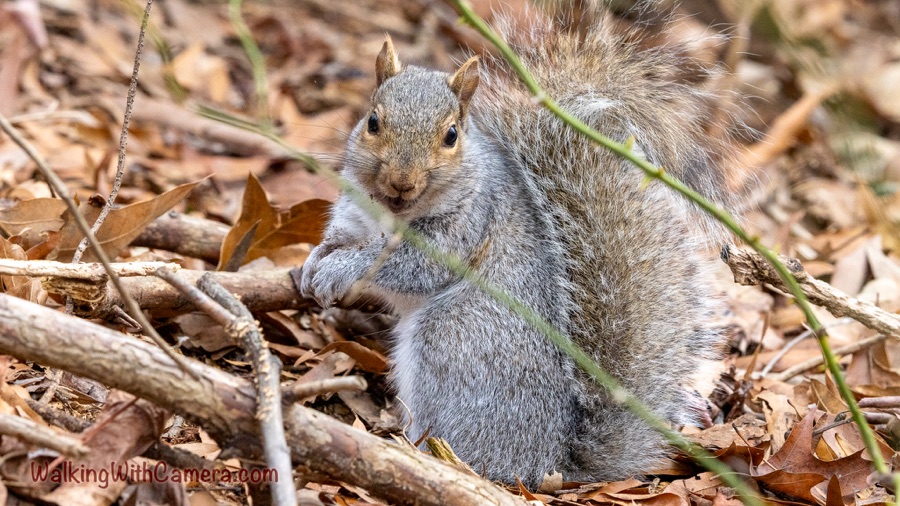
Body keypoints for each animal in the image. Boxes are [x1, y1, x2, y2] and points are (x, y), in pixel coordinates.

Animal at [299, 8, 739, 488]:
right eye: (373, 122)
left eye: (451, 135)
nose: (401, 182)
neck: (392, 213)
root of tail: (552, 464)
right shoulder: (355, 212)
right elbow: (339, 237)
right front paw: (313, 263)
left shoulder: (467, 226)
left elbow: (408, 266)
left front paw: (342, 269)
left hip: (452, 341)